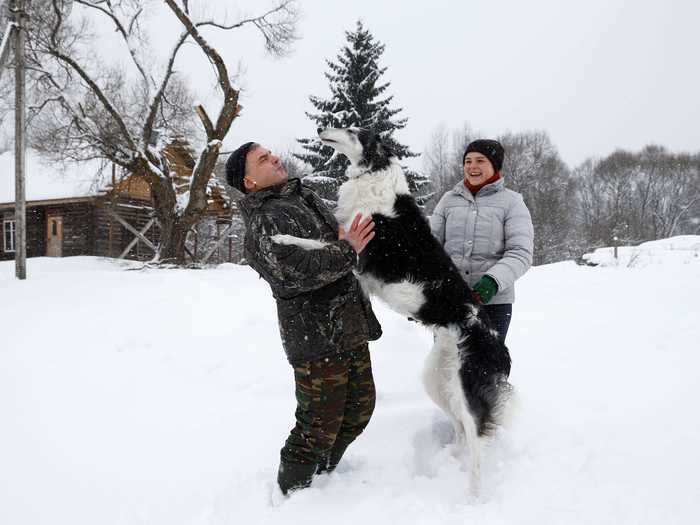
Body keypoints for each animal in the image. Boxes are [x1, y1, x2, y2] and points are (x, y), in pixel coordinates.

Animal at [276, 127, 512, 492]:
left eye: (353, 131)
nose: (320, 130)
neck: (374, 173)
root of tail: (498, 345)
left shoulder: (358, 253)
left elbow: (319, 244)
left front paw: (282, 238)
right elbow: (327, 243)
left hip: (468, 389)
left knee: (477, 445)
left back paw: (473, 494)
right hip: (437, 379)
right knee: (461, 428)